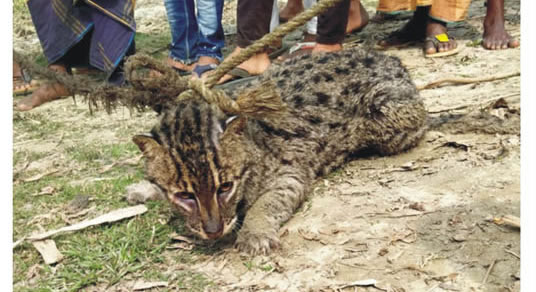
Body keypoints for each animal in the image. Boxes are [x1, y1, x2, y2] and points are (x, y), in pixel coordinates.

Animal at [133, 47, 428, 253]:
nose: (214, 230)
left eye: (225, 187)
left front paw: (254, 232)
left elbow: (266, 203)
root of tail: (393, 59)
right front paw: (144, 189)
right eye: (184, 195)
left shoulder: (290, 174)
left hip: (385, 115)